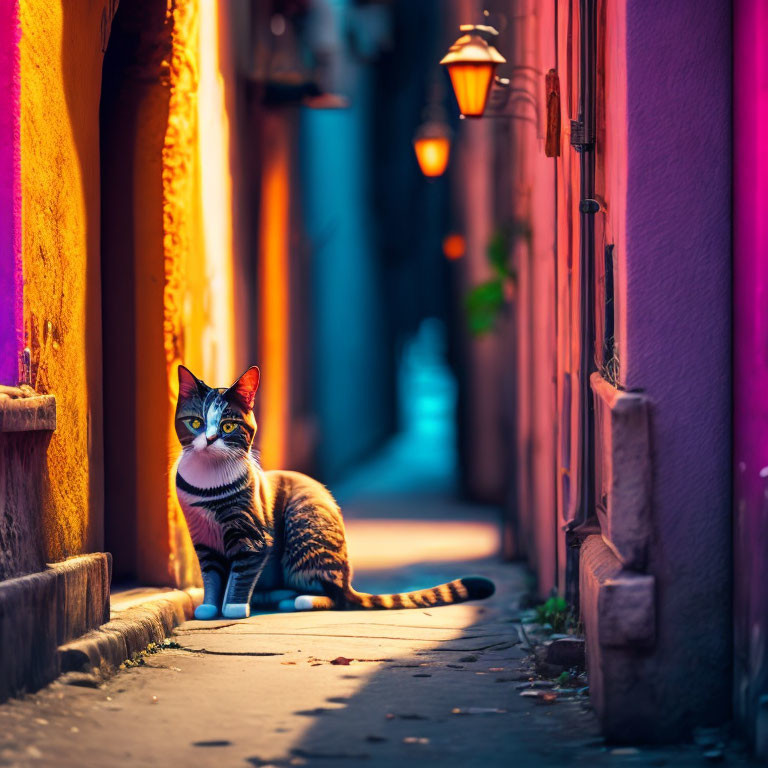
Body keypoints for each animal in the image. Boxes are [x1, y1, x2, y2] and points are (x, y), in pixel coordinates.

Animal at [173, 364, 496, 620]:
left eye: (228, 426)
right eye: (196, 423)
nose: (210, 439)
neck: (206, 487)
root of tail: (348, 579)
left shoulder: (253, 536)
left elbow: (240, 573)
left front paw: (234, 608)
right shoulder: (202, 539)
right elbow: (212, 576)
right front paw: (209, 607)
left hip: (302, 529)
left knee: (336, 597)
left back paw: (300, 600)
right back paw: (276, 596)